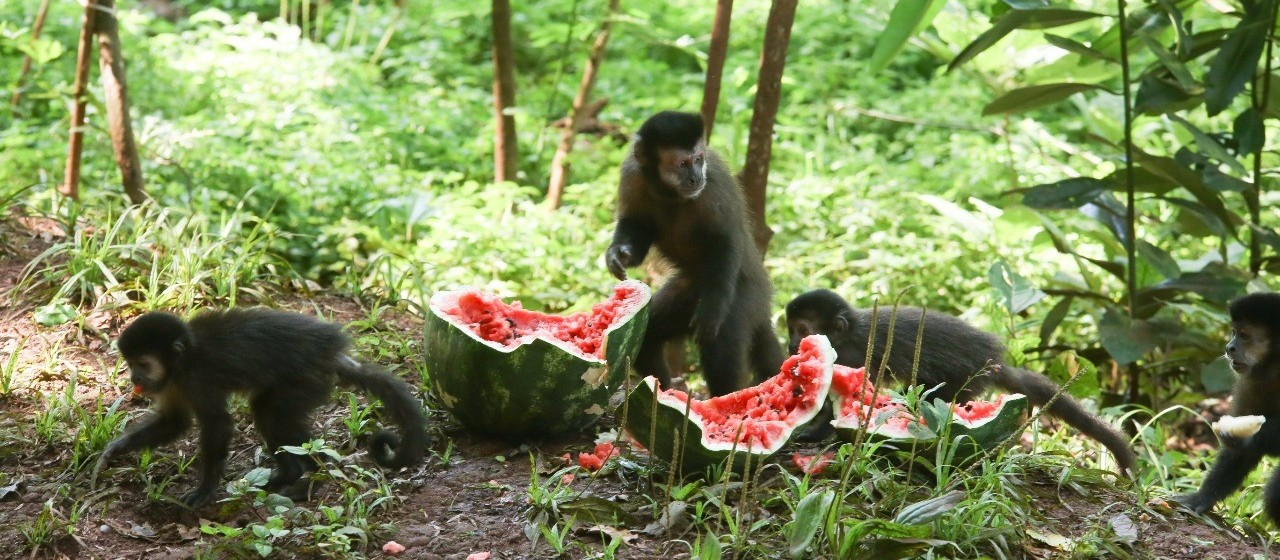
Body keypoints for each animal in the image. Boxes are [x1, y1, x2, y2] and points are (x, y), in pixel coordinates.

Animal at [604, 111, 783, 396]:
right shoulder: (632, 174)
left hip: (746, 296)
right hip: (689, 292)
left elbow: (725, 242)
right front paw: (618, 254)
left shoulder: (714, 185)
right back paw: (663, 390)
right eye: (683, 163)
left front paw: (711, 314)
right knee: (649, 334)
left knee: (720, 348)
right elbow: (637, 226)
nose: (696, 178)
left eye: (698, 160)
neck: (669, 191)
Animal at [783, 288, 1136, 473]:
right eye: (789, 330)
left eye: (801, 330)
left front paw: (820, 434)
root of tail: (992, 361)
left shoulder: (855, 354)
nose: (790, 346)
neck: (851, 333)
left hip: (967, 378)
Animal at [1172, 291, 1280, 521]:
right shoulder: (1250, 382)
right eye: (1233, 332)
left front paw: (1250, 438)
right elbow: (1239, 454)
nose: (1229, 347)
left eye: (1244, 335)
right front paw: (1202, 497)